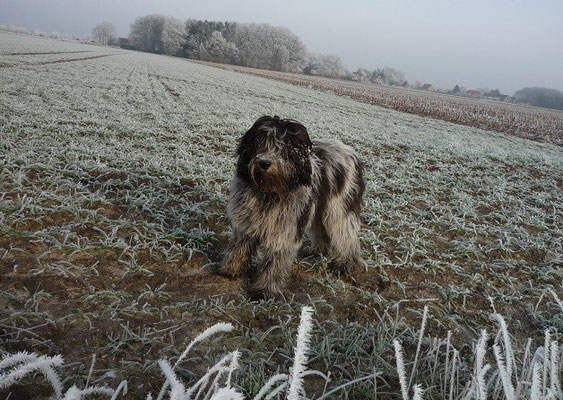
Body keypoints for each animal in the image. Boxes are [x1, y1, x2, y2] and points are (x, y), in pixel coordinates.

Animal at [220, 115, 366, 300]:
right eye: (259, 143)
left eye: (283, 148)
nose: (264, 163)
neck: (269, 191)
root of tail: (352, 153)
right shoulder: (246, 222)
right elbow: (239, 246)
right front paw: (231, 268)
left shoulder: (284, 230)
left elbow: (274, 262)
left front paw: (265, 290)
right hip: (317, 208)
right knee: (321, 230)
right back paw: (316, 251)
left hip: (340, 208)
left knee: (347, 236)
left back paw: (345, 264)